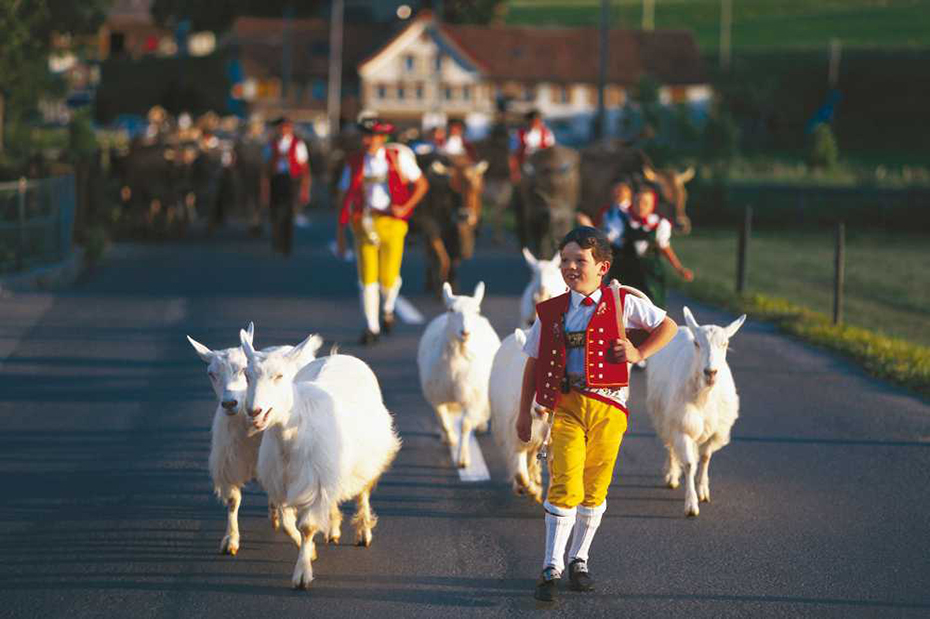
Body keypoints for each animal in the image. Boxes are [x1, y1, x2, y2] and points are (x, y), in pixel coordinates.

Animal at [185, 324, 320, 556]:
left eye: (243, 369)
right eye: (211, 374)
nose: (229, 403)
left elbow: (288, 515)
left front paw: (303, 543)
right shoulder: (230, 465)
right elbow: (233, 501)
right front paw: (231, 539)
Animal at [239, 334, 398, 592]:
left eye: (279, 376)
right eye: (247, 375)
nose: (254, 411)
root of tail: (338, 355)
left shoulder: (315, 482)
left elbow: (307, 527)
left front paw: (302, 574)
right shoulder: (284, 483)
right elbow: (287, 523)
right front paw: (311, 552)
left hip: (366, 460)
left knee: (363, 493)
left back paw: (363, 532)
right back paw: (333, 529)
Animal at [416, 284, 500, 468]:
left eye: (476, 310)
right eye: (451, 309)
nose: (465, 333)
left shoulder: (472, 399)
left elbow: (465, 425)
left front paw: (462, 458)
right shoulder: (437, 397)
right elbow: (444, 421)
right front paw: (450, 439)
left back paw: (481, 424)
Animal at [640, 306, 744, 520]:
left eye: (725, 343)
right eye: (697, 343)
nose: (710, 372)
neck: (705, 397)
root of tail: (682, 327)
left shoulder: (715, 431)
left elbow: (705, 458)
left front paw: (703, 490)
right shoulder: (683, 426)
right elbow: (689, 464)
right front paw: (691, 504)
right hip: (666, 416)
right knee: (670, 446)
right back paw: (672, 475)